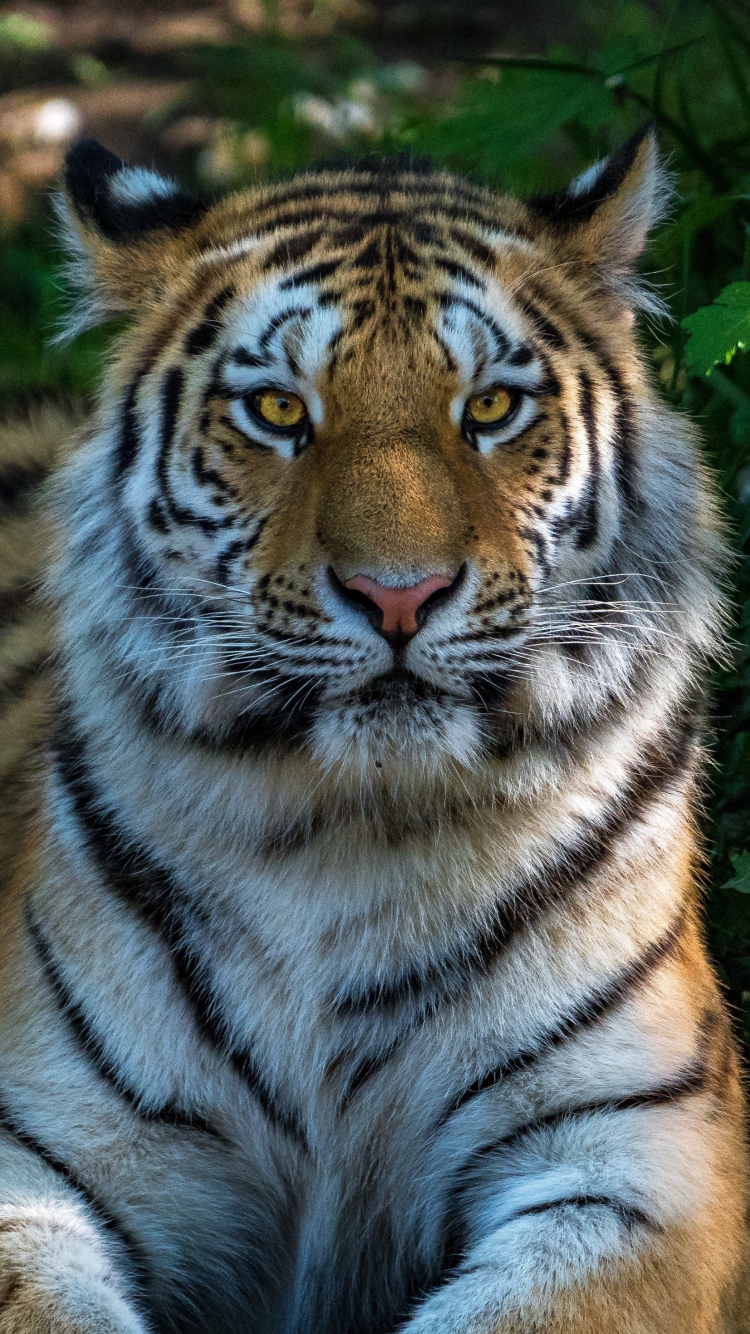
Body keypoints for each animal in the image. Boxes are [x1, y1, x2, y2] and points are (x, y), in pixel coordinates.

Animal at [0, 124, 747, 1334]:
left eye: (489, 410)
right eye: (278, 412)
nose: (400, 595)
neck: (354, 832)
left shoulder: (639, 1155)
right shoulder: (39, 1146)